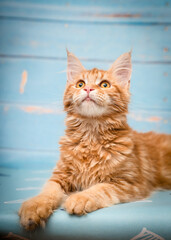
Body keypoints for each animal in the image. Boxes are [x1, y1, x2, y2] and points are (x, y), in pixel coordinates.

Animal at [18, 49, 171, 231]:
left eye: (104, 84)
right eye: (80, 84)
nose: (88, 88)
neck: (91, 137)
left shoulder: (130, 182)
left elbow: (100, 188)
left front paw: (80, 198)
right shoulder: (60, 175)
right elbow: (48, 191)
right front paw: (34, 207)